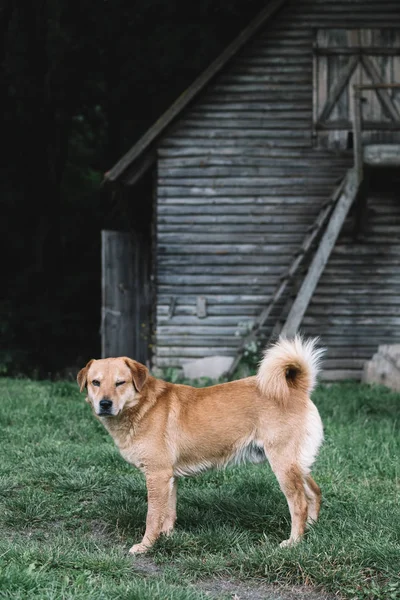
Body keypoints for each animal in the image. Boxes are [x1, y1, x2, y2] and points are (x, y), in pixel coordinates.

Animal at [76, 336, 324, 556]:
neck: (142, 406)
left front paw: (146, 546)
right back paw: (310, 530)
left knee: (299, 504)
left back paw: (294, 542)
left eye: (120, 382)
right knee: (314, 492)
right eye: (95, 382)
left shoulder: (157, 475)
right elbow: (168, 513)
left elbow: (152, 517)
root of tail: (297, 388)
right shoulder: (169, 478)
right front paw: (167, 537)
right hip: (297, 465)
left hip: (283, 465)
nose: (105, 404)